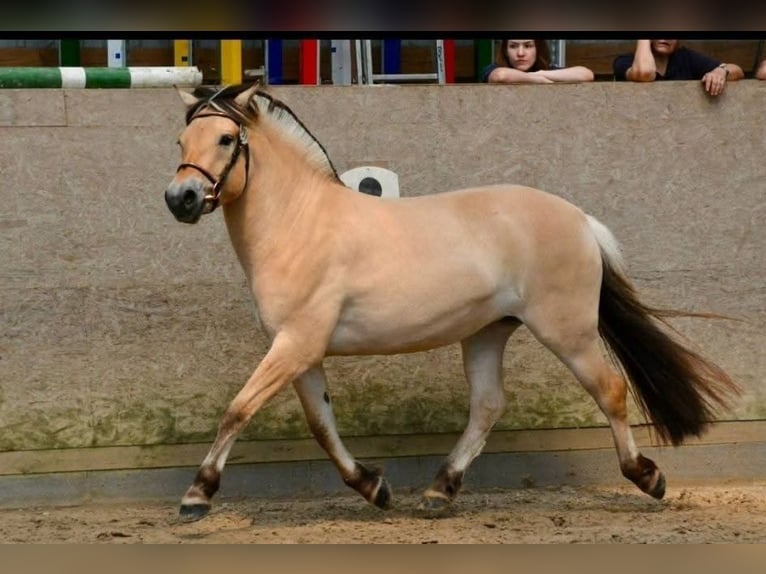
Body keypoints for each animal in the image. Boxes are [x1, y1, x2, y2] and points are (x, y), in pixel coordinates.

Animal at [164, 82, 740, 521]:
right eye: (180, 140)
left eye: (225, 138)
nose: (181, 199)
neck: (301, 222)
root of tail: (579, 219)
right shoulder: (300, 352)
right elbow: (322, 427)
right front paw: (374, 487)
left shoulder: (297, 345)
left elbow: (237, 411)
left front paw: (197, 495)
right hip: (487, 332)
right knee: (488, 406)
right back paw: (440, 490)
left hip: (567, 331)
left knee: (610, 390)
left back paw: (648, 477)